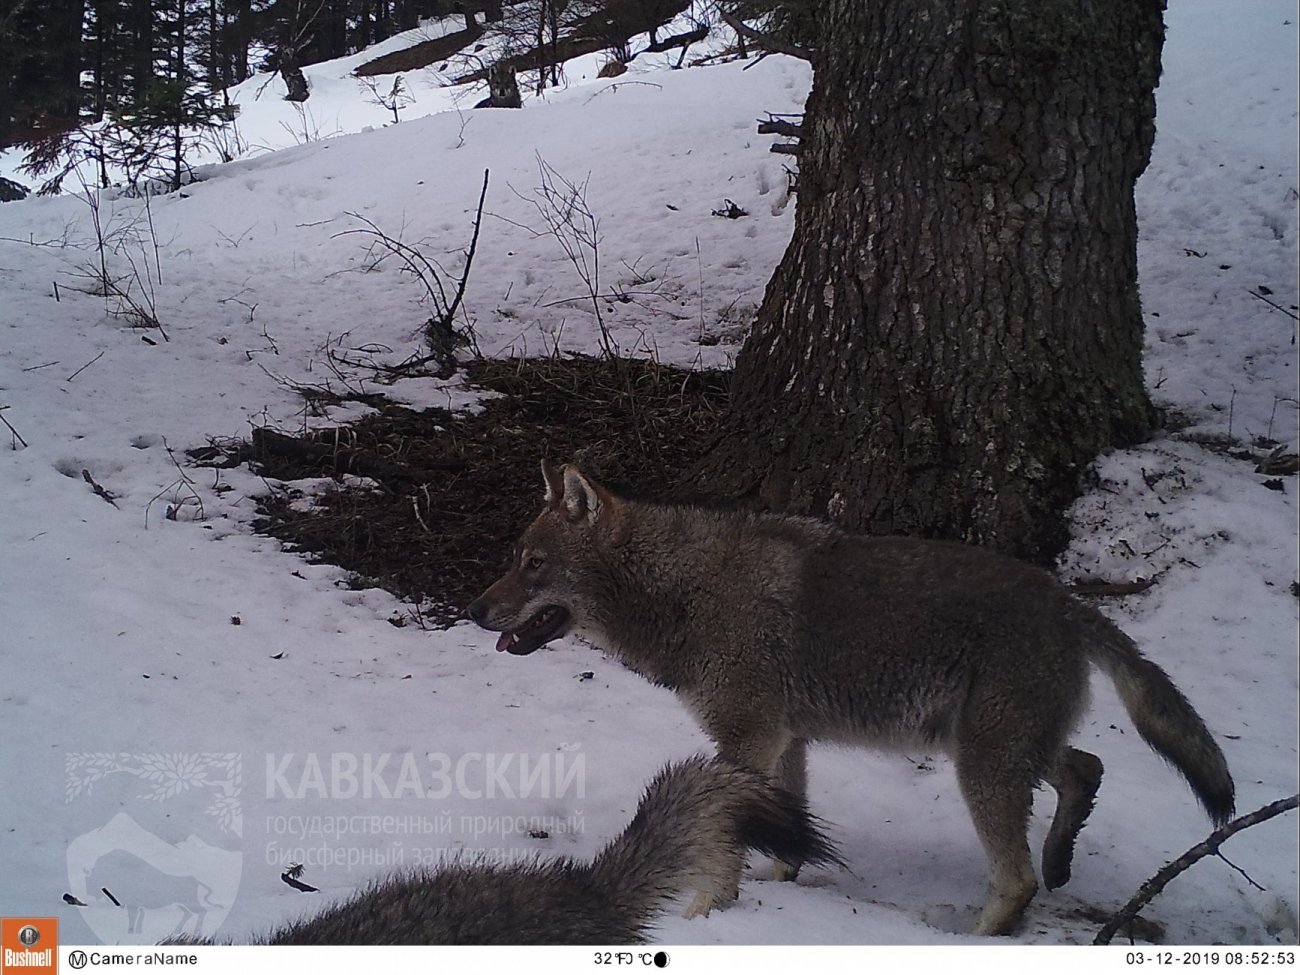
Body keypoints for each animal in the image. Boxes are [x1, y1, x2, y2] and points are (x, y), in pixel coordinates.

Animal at [467, 462, 1237, 935]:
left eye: (533, 565)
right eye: (512, 559)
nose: (474, 610)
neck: (684, 590)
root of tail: (1071, 603)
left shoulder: (746, 739)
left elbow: (724, 841)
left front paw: (709, 914)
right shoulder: (786, 741)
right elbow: (783, 823)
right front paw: (781, 878)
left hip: (980, 763)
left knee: (1017, 871)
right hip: (993, 748)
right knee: (1086, 768)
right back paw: (1059, 863)